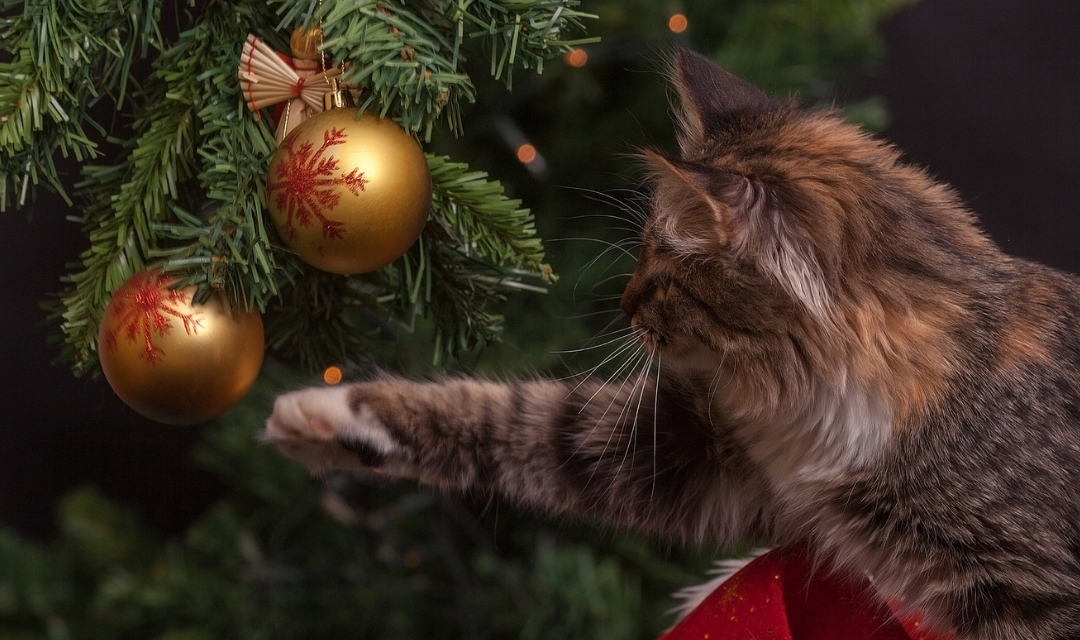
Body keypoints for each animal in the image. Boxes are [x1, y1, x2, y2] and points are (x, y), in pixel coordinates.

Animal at [261, 51, 1080, 638]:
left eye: (662, 273)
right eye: (641, 254)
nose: (624, 306)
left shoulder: (1034, 590)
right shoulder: (704, 455)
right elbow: (515, 419)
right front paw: (328, 416)